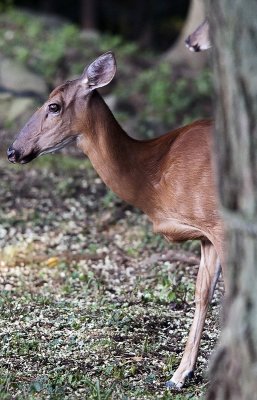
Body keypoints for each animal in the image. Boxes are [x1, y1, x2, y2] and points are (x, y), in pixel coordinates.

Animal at [7, 50, 223, 388]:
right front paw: (180, 374)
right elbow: (203, 294)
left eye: (54, 105)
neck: (153, 174)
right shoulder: (205, 232)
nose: (13, 150)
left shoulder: (221, 223)